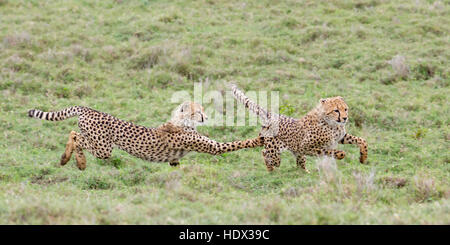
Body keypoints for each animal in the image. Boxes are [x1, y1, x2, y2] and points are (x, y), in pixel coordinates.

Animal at [28, 100, 264, 169]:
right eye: (198, 111)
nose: (205, 117)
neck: (182, 123)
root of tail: (88, 108)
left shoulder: (174, 160)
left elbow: (176, 168)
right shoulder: (212, 147)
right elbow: (236, 143)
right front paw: (261, 138)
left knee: (73, 133)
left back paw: (69, 160)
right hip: (104, 148)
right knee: (75, 135)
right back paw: (75, 160)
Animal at [232, 84, 370, 172]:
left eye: (345, 109)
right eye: (336, 110)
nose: (345, 118)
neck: (330, 123)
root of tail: (273, 115)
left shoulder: (340, 137)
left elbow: (361, 140)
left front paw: (363, 157)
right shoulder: (306, 147)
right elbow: (331, 151)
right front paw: (339, 154)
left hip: (295, 152)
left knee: (299, 162)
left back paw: (304, 172)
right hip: (275, 151)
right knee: (266, 153)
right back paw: (271, 169)